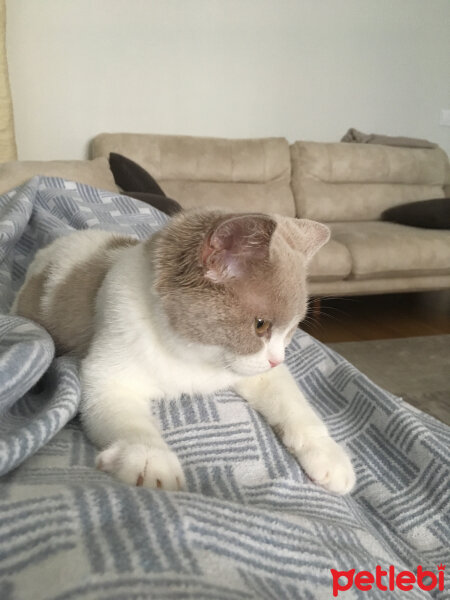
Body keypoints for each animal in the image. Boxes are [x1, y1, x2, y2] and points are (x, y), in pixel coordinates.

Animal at [11, 209, 356, 494]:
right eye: (261, 326)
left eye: (292, 330)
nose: (276, 359)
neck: (192, 356)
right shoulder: (107, 374)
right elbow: (126, 420)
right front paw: (149, 458)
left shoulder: (256, 373)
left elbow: (293, 405)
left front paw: (328, 454)